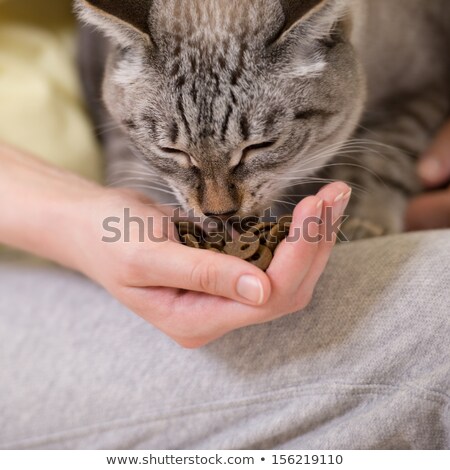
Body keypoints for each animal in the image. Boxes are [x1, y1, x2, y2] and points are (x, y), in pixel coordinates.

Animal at [75, 0, 448, 239]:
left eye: (260, 146)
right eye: (172, 151)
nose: (218, 213)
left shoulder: (425, 90)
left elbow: (381, 156)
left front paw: (363, 223)